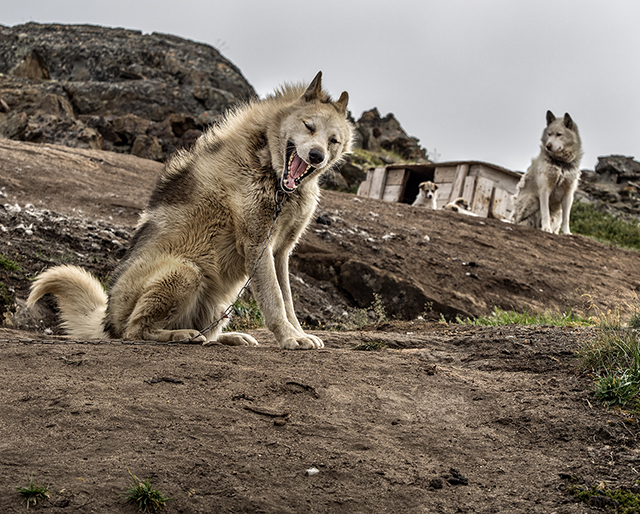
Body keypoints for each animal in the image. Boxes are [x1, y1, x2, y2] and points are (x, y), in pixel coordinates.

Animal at [27, 71, 356, 348]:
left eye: (333, 141)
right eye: (308, 126)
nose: (316, 156)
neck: (270, 172)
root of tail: (106, 320)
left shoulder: (280, 253)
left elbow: (287, 301)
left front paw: (298, 333)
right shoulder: (258, 245)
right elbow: (274, 301)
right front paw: (289, 338)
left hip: (220, 306)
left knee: (206, 333)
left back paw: (227, 338)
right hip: (186, 271)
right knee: (136, 330)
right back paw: (180, 335)